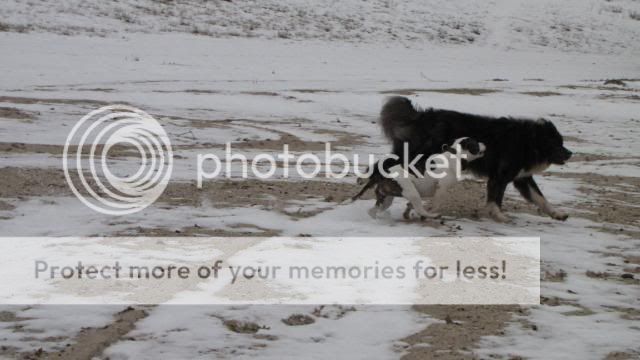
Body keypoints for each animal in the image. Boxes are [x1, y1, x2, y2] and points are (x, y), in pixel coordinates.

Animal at [356, 137, 484, 219]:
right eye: (476, 144)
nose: (484, 143)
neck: (455, 155)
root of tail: (383, 174)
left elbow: (410, 206)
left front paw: (407, 212)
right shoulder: (442, 189)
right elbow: (437, 204)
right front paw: (431, 211)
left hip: (386, 199)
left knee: (373, 210)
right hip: (412, 193)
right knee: (421, 209)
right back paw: (431, 215)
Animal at [376, 95, 568, 222]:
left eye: (562, 142)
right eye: (557, 144)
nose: (570, 153)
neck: (527, 141)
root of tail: (420, 116)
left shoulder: (522, 178)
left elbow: (541, 198)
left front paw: (557, 213)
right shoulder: (500, 177)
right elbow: (496, 198)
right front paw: (499, 215)